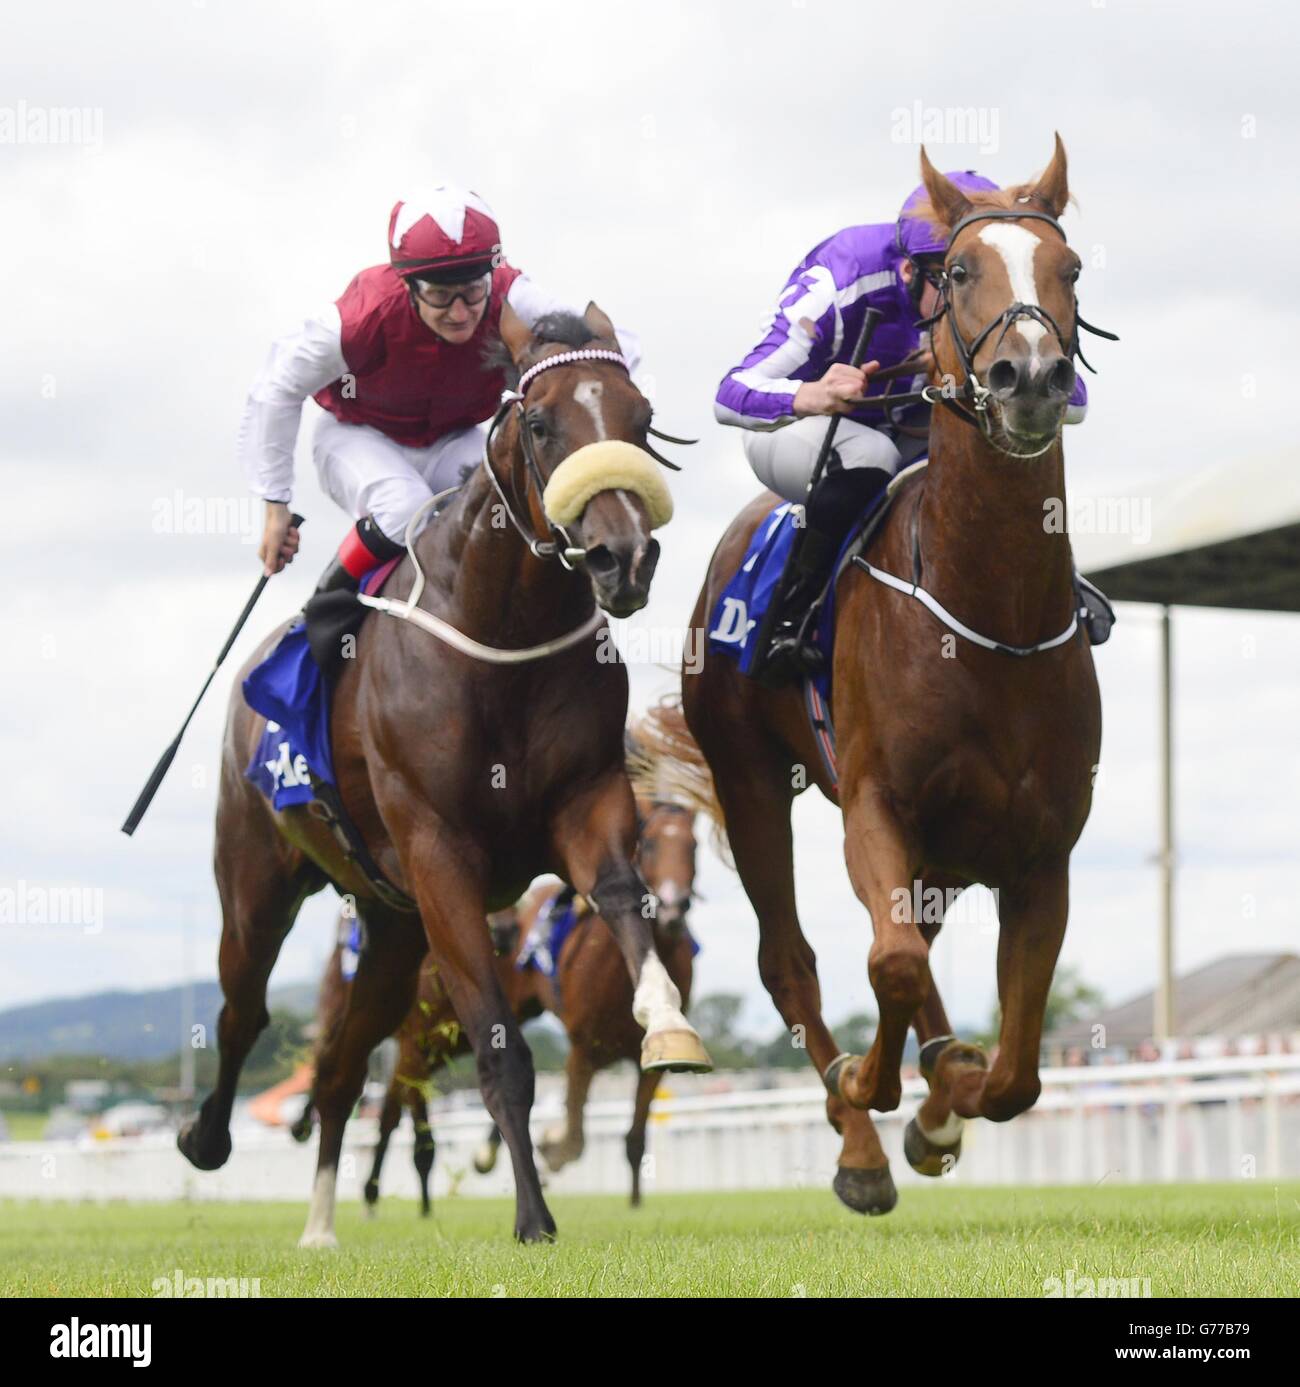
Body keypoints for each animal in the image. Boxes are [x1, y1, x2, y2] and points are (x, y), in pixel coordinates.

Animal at [177, 303, 711, 1246]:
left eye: (641, 418)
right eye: (541, 425)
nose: (622, 557)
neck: (501, 634)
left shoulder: (584, 800)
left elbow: (620, 894)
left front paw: (667, 1023)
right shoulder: (440, 855)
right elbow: (502, 1050)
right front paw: (533, 1217)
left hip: (392, 930)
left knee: (341, 1068)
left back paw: (321, 1225)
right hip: (258, 887)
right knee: (245, 1011)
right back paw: (208, 1138)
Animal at [638, 138, 1105, 1214]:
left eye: (1069, 271)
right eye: (961, 271)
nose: (1030, 377)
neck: (989, 619)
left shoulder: (1042, 851)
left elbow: (1017, 1072)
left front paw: (948, 1095)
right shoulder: (874, 804)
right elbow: (886, 961)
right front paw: (875, 1086)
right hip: (751, 780)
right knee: (792, 959)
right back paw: (858, 1140)